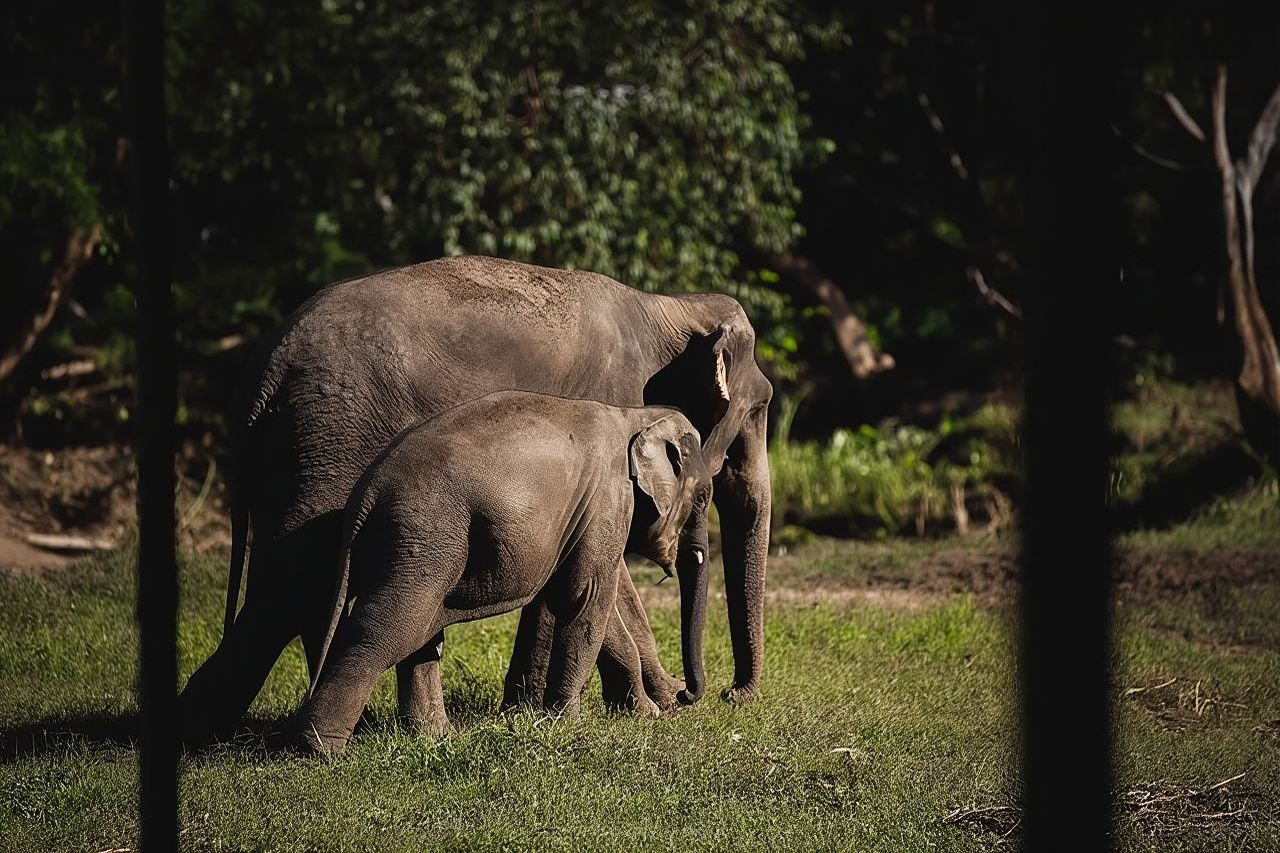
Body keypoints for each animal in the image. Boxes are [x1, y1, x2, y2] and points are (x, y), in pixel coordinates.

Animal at [296, 393, 713, 753]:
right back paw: (320, 749)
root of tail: (365, 495)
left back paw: (437, 737)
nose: (685, 694)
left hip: (421, 547)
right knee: (388, 628)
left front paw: (643, 714)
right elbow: (587, 597)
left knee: (422, 632)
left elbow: (585, 602)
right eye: (704, 496)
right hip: (425, 533)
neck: (635, 416)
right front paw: (567, 723)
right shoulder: (608, 499)